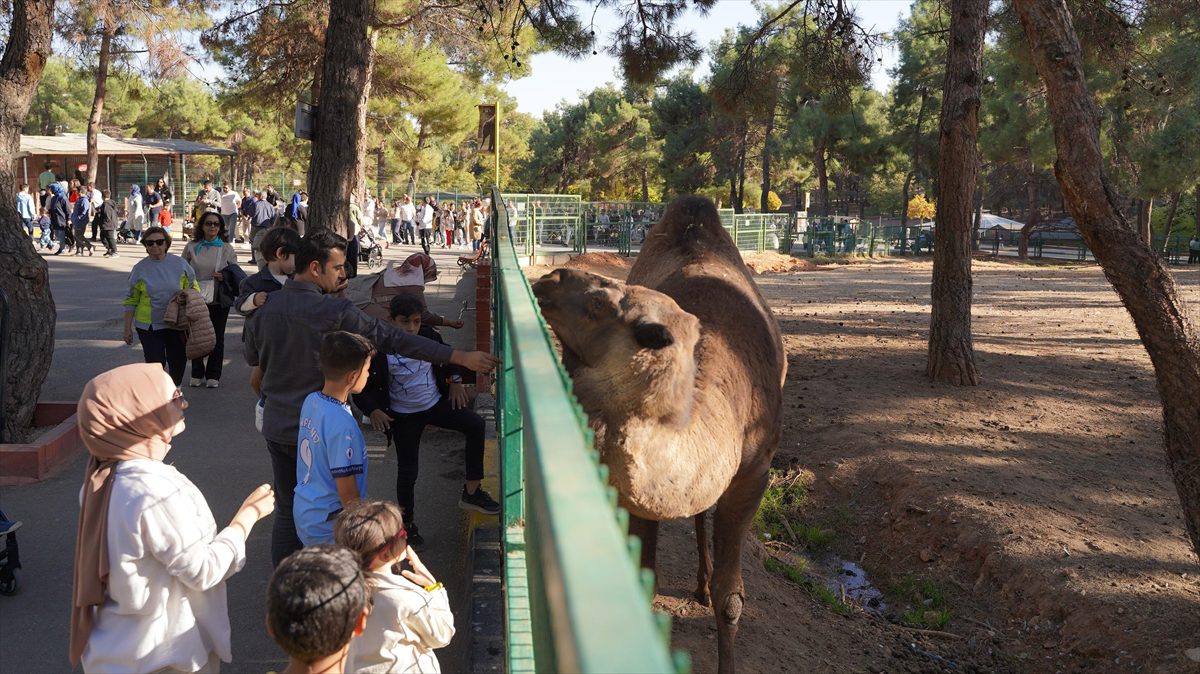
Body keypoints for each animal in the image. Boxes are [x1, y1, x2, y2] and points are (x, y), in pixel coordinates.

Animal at [535, 194, 787, 671]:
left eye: (599, 301)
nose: (550, 278)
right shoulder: (636, 496)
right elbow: (645, 582)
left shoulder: (754, 473)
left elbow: (731, 599)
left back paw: (703, 584)